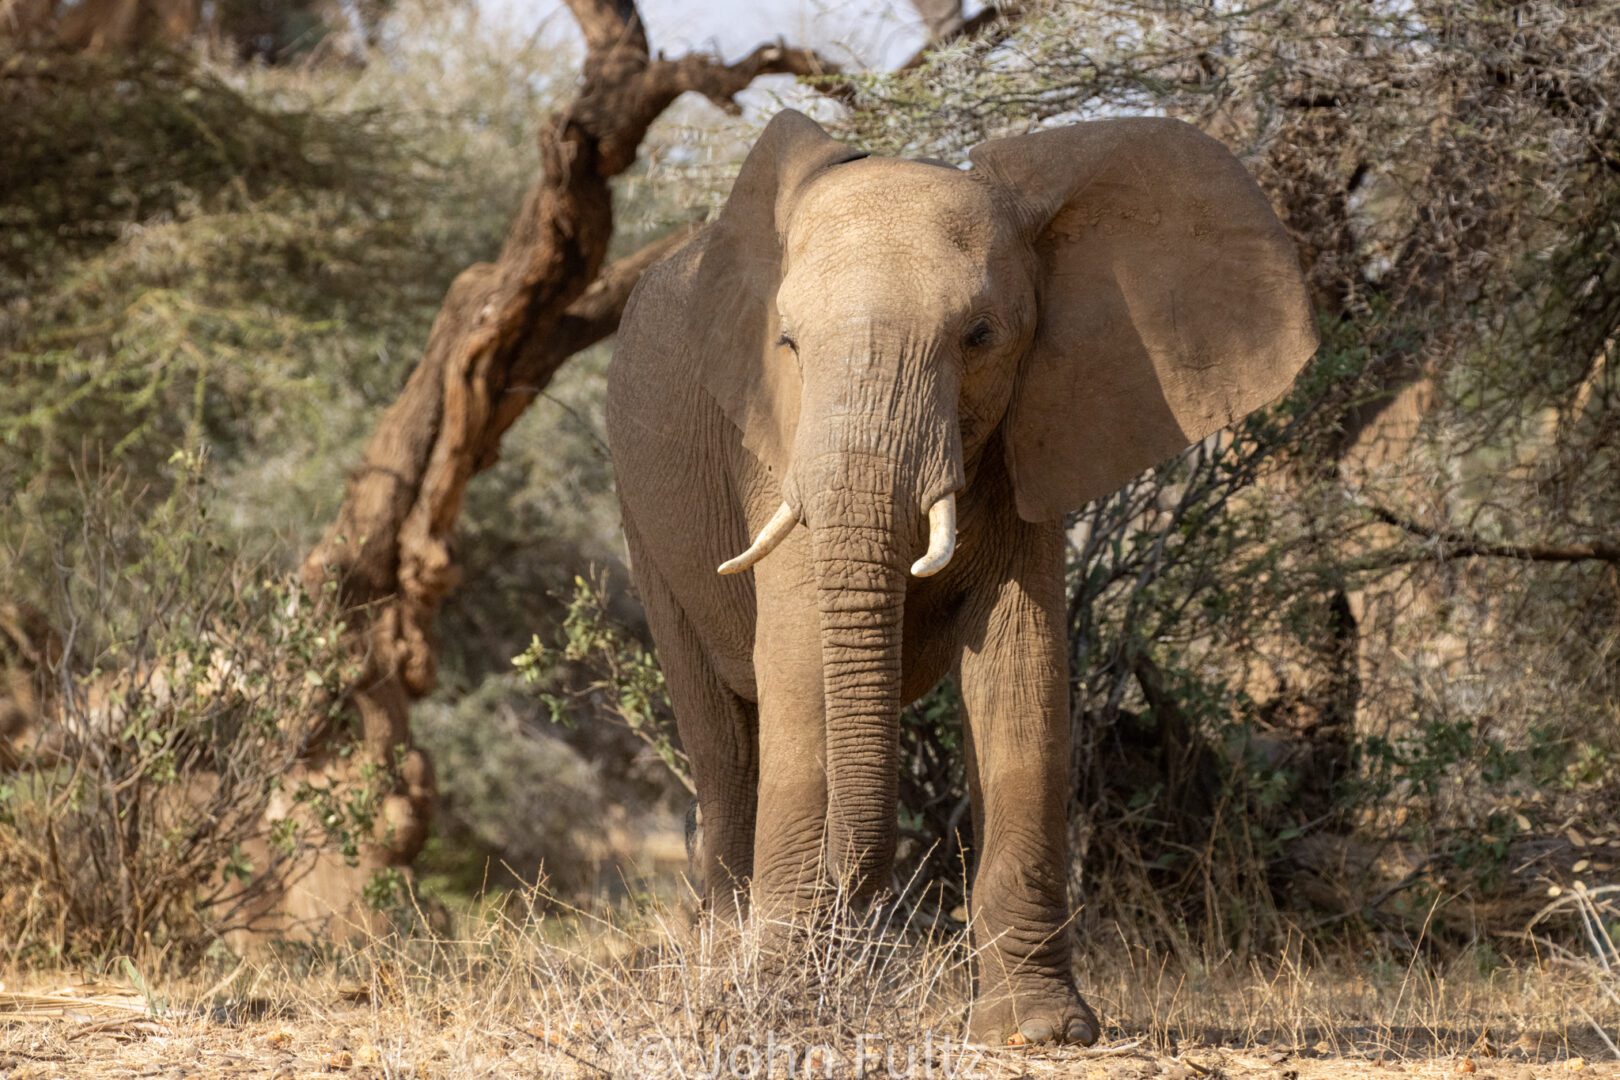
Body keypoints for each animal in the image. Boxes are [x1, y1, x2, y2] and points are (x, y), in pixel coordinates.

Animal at [609, 110, 1315, 1049]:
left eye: (979, 337)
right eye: (788, 344)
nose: (863, 905)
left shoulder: (1038, 431)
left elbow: (1022, 672)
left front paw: (1040, 1031)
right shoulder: (772, 444)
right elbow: (797, 659)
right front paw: (780, 1004)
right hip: (642, 514)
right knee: (722, 739)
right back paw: (724, 969)